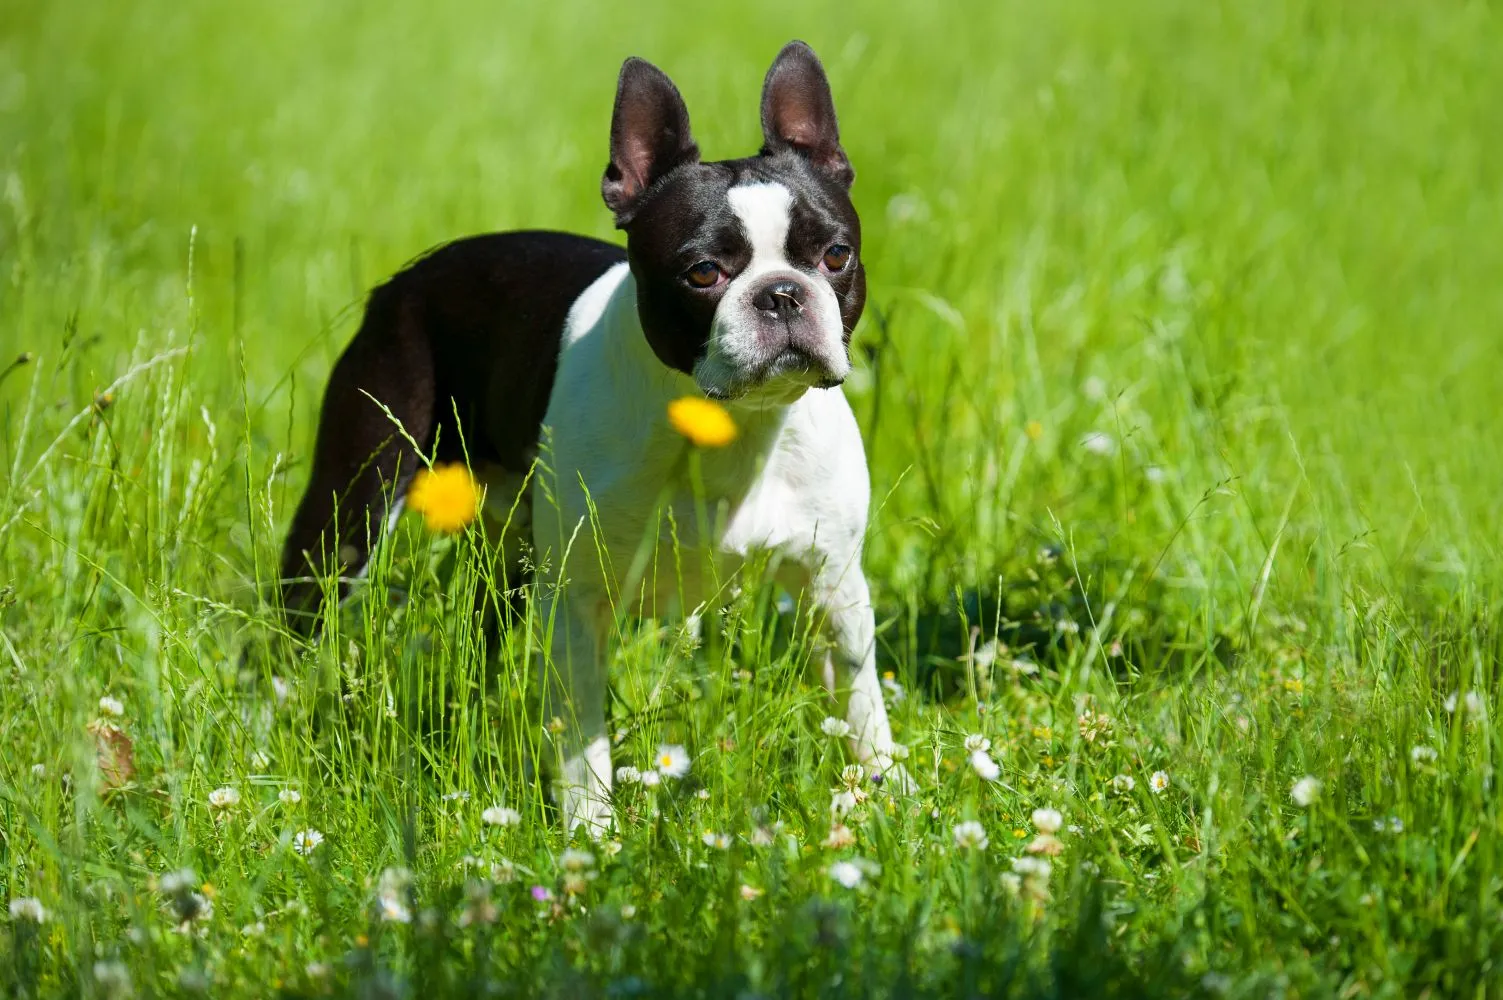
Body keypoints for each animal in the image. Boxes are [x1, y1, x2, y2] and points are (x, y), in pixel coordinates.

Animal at [281, 39, 901, 830]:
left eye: (835, 256)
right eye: (703, 272)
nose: (782, 293)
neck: (730, 427)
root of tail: (407, 280)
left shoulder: (835, 590)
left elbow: (861, 705)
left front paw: (889, 795)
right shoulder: (575, 603)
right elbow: (581, 738)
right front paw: (592, 834)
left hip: (509, 562)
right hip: (351, 515)